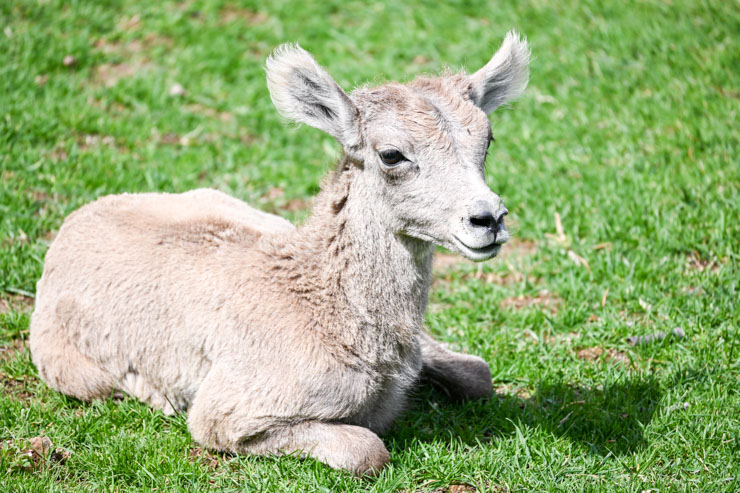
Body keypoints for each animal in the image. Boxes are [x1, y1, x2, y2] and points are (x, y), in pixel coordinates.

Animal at [28, 29, 528, 472]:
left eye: (487, 140)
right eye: (391, 155)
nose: (488, 219)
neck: (326, 309)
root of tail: (76, 222)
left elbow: (478, 375)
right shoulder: (230, 413)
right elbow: (368, 451)